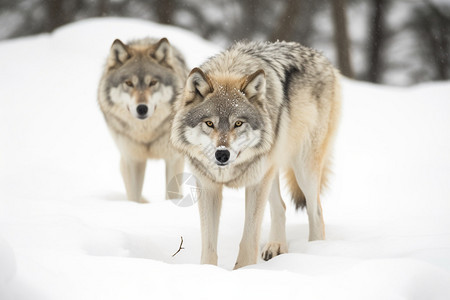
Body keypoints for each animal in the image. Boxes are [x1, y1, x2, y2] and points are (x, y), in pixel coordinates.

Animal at [98, 37, 188, 202]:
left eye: (152, 82)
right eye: (129, 83)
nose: (142, 108)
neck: (146, 134)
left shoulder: (174, 159)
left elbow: (172, 194)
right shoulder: (133, 160)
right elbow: (134, 197)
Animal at [172, 41, 342, 268]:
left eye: (238, 123)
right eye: (209, 123)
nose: (222, 155)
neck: (230, 69)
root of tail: (325, 59)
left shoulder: (255, 184)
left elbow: (249, 239)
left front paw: (245, 271)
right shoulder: (208, 186)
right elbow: (208, 245)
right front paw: (208, 271)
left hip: (302, 169)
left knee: (316, 211)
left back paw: (314, 253)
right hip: (269, 171)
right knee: (281, 207)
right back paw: (276, 246)